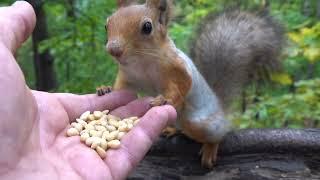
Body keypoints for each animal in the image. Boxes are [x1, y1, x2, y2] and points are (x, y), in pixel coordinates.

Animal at [99, 0, 282, 169]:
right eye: (107, 24)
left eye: (147, 27)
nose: (113, 50)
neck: (142, 62)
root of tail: (221, 109)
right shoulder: (128, 77)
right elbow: (121, 89)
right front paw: (105, 89)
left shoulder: (179, 70)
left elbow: (183, 87)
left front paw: (164, 100)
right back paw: (172, 129)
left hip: (200, 124)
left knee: (219, 133)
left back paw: (210, 147)